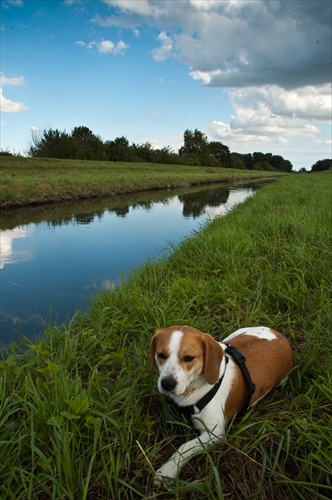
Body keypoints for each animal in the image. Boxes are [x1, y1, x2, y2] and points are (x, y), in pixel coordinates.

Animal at [148, 326, 294, 482]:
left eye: (188, 358)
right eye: (161, 355)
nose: (167, 384)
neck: (192, 389)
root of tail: (281, 337)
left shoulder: (215, 434)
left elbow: (184, 447)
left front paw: (167, 471)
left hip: (281, 380)